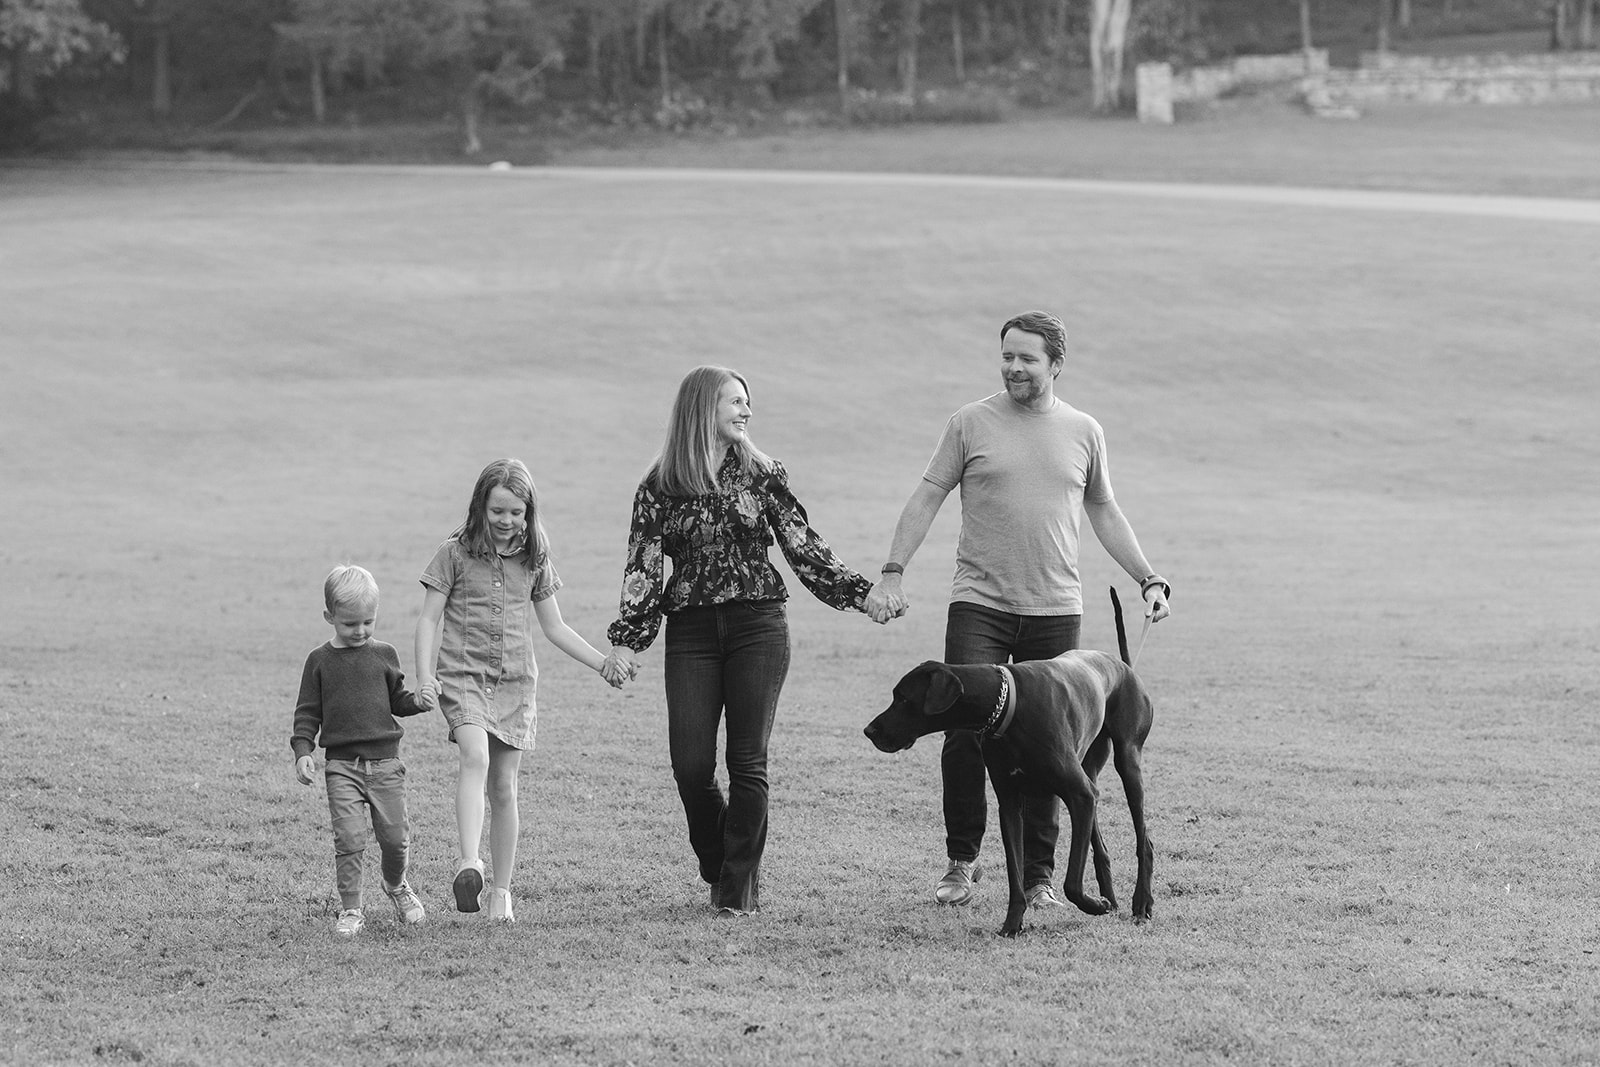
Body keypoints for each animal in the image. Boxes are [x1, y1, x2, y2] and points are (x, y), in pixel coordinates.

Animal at [864, 588, 1152, 940]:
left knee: (1144, 841)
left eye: (904, 698)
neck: (1006, 707)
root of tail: (1124, 665)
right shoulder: (1011, 803)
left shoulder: (1079, 795)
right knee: (1101, 845)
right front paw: (1013, 925)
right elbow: (1016, 876)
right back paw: (1110, 899)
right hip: (1090, 775)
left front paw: (1092, 906)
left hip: (1127, 763)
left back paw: (1141, 904)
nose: (869, 730)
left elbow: (1071, 881)